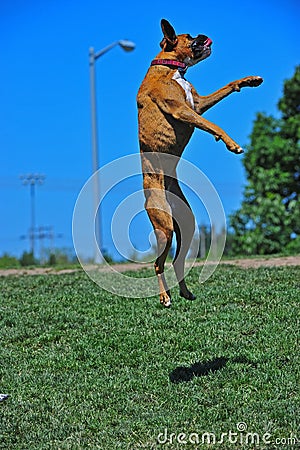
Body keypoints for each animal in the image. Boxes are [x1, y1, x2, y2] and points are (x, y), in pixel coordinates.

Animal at [137, 18, 262, 306]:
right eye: (190, 36)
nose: (204, 34)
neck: (170, 67)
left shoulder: (197, 104)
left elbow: (227, 87)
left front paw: (249, 81)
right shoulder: (183, 110)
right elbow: (213, 125)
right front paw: (231, 144)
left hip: (187, 225)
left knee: (176, 262)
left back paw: (184, 292)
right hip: (164, 228)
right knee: (158, 264)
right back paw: (165, 297)